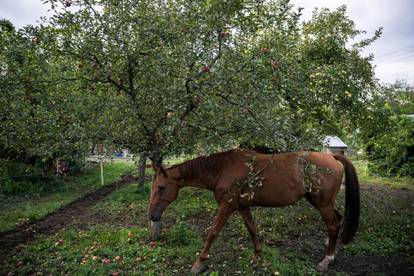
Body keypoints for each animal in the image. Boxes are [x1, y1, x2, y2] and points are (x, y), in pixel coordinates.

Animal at [149, 148, 360, 272]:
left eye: (161, 187)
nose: (152, 215)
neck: (222, 169)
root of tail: (331, 156)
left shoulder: (227, 206)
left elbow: (213, 232)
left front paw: (199, 262)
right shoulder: (242, 206)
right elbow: (252, 228)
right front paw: (257, 254)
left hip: (322, 203)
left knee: (333, 225)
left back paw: (327, 259)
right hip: (323, 202)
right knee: (337, 220)